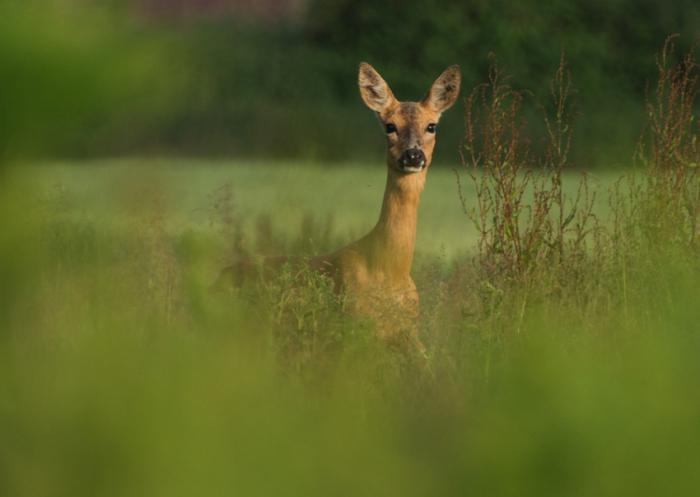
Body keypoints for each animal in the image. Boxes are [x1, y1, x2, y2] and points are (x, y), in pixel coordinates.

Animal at [217, 62, 460, 356]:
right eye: (390, 126)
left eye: (431, 126)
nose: (413, 155)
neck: (390, 270)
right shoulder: (354, 328)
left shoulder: (410, 332)